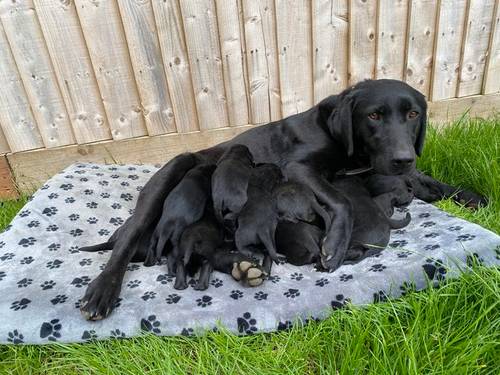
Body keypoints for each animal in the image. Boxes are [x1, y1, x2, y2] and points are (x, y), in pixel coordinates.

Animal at [80, 78, 486, 320]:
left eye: (413, 114)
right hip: (169, 175)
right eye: (373, 116)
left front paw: (472, 196)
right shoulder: (300, 169)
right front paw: (335, 244)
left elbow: (430, 180)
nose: (403, 157)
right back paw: (102, 291)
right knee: (127, 244)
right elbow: (341, 200)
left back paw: (245, 267)